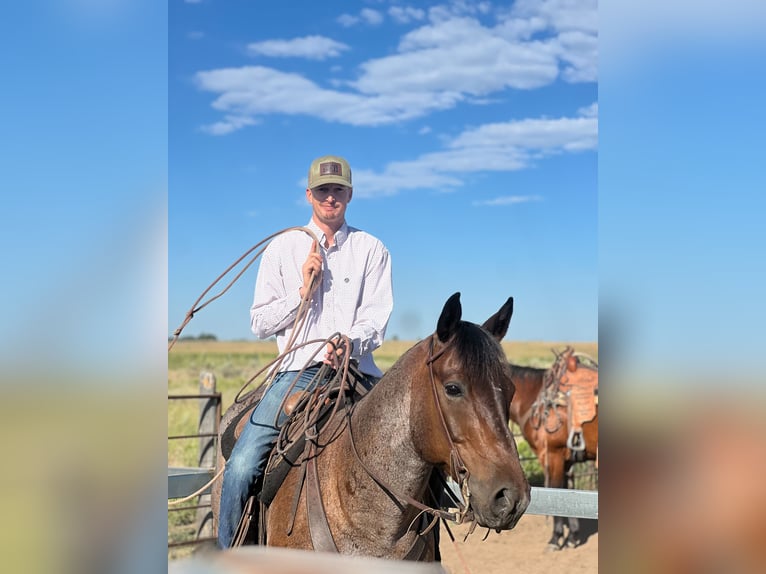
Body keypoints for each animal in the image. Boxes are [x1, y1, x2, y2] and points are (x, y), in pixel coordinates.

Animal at [508, 351, 598, 550]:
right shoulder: (567, 459)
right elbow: (568, 490)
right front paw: (572, 537)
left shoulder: (552, 455)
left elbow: (556, 490)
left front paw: (556, 539)